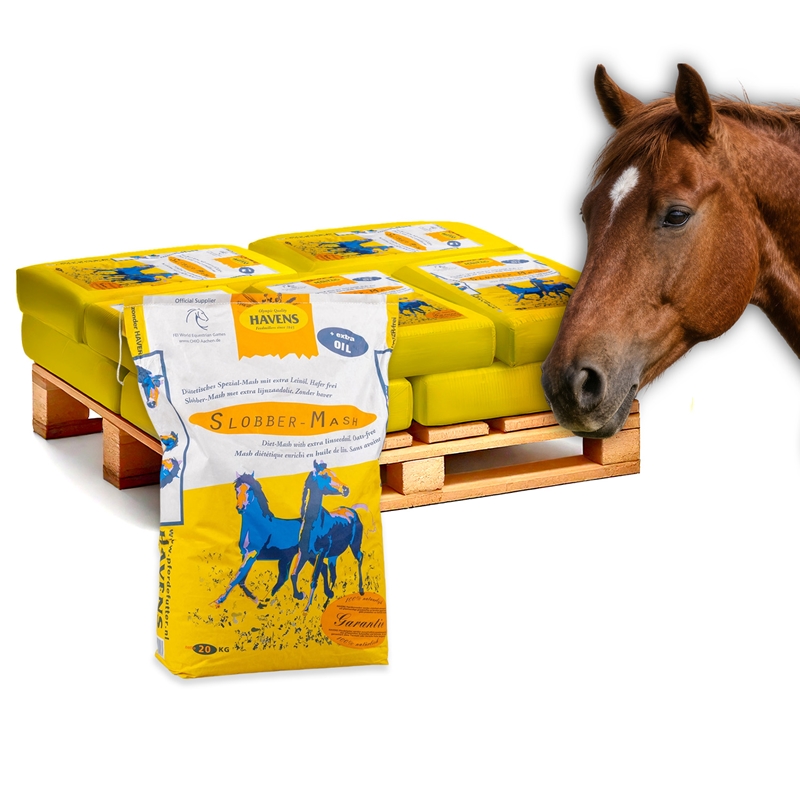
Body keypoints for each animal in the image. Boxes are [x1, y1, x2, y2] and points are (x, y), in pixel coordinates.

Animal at [211, 472, 314, 608]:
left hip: (305, 555)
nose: (240, 507)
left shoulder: (252, 554)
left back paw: (300, 596)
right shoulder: (246, 555)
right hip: (290, 557)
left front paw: (216, 602)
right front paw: (255, 599)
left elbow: (236, 578)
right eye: (236, 489)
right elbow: (241, 580)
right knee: (286, 577)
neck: (255, 527)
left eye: (250, 489)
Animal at [291, 460, 367, 612]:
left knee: (360, 557)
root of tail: (352, 511)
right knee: (332, 573)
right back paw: (329, 599)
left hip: (354, 545)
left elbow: (314, 578)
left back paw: (361, 590)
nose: (346, 489)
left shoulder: (321, 553)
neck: (313, 526)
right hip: (334, 555)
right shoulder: (305, 553)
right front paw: (299, 595)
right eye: (325, 476)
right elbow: (295, 574)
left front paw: (306, 608)